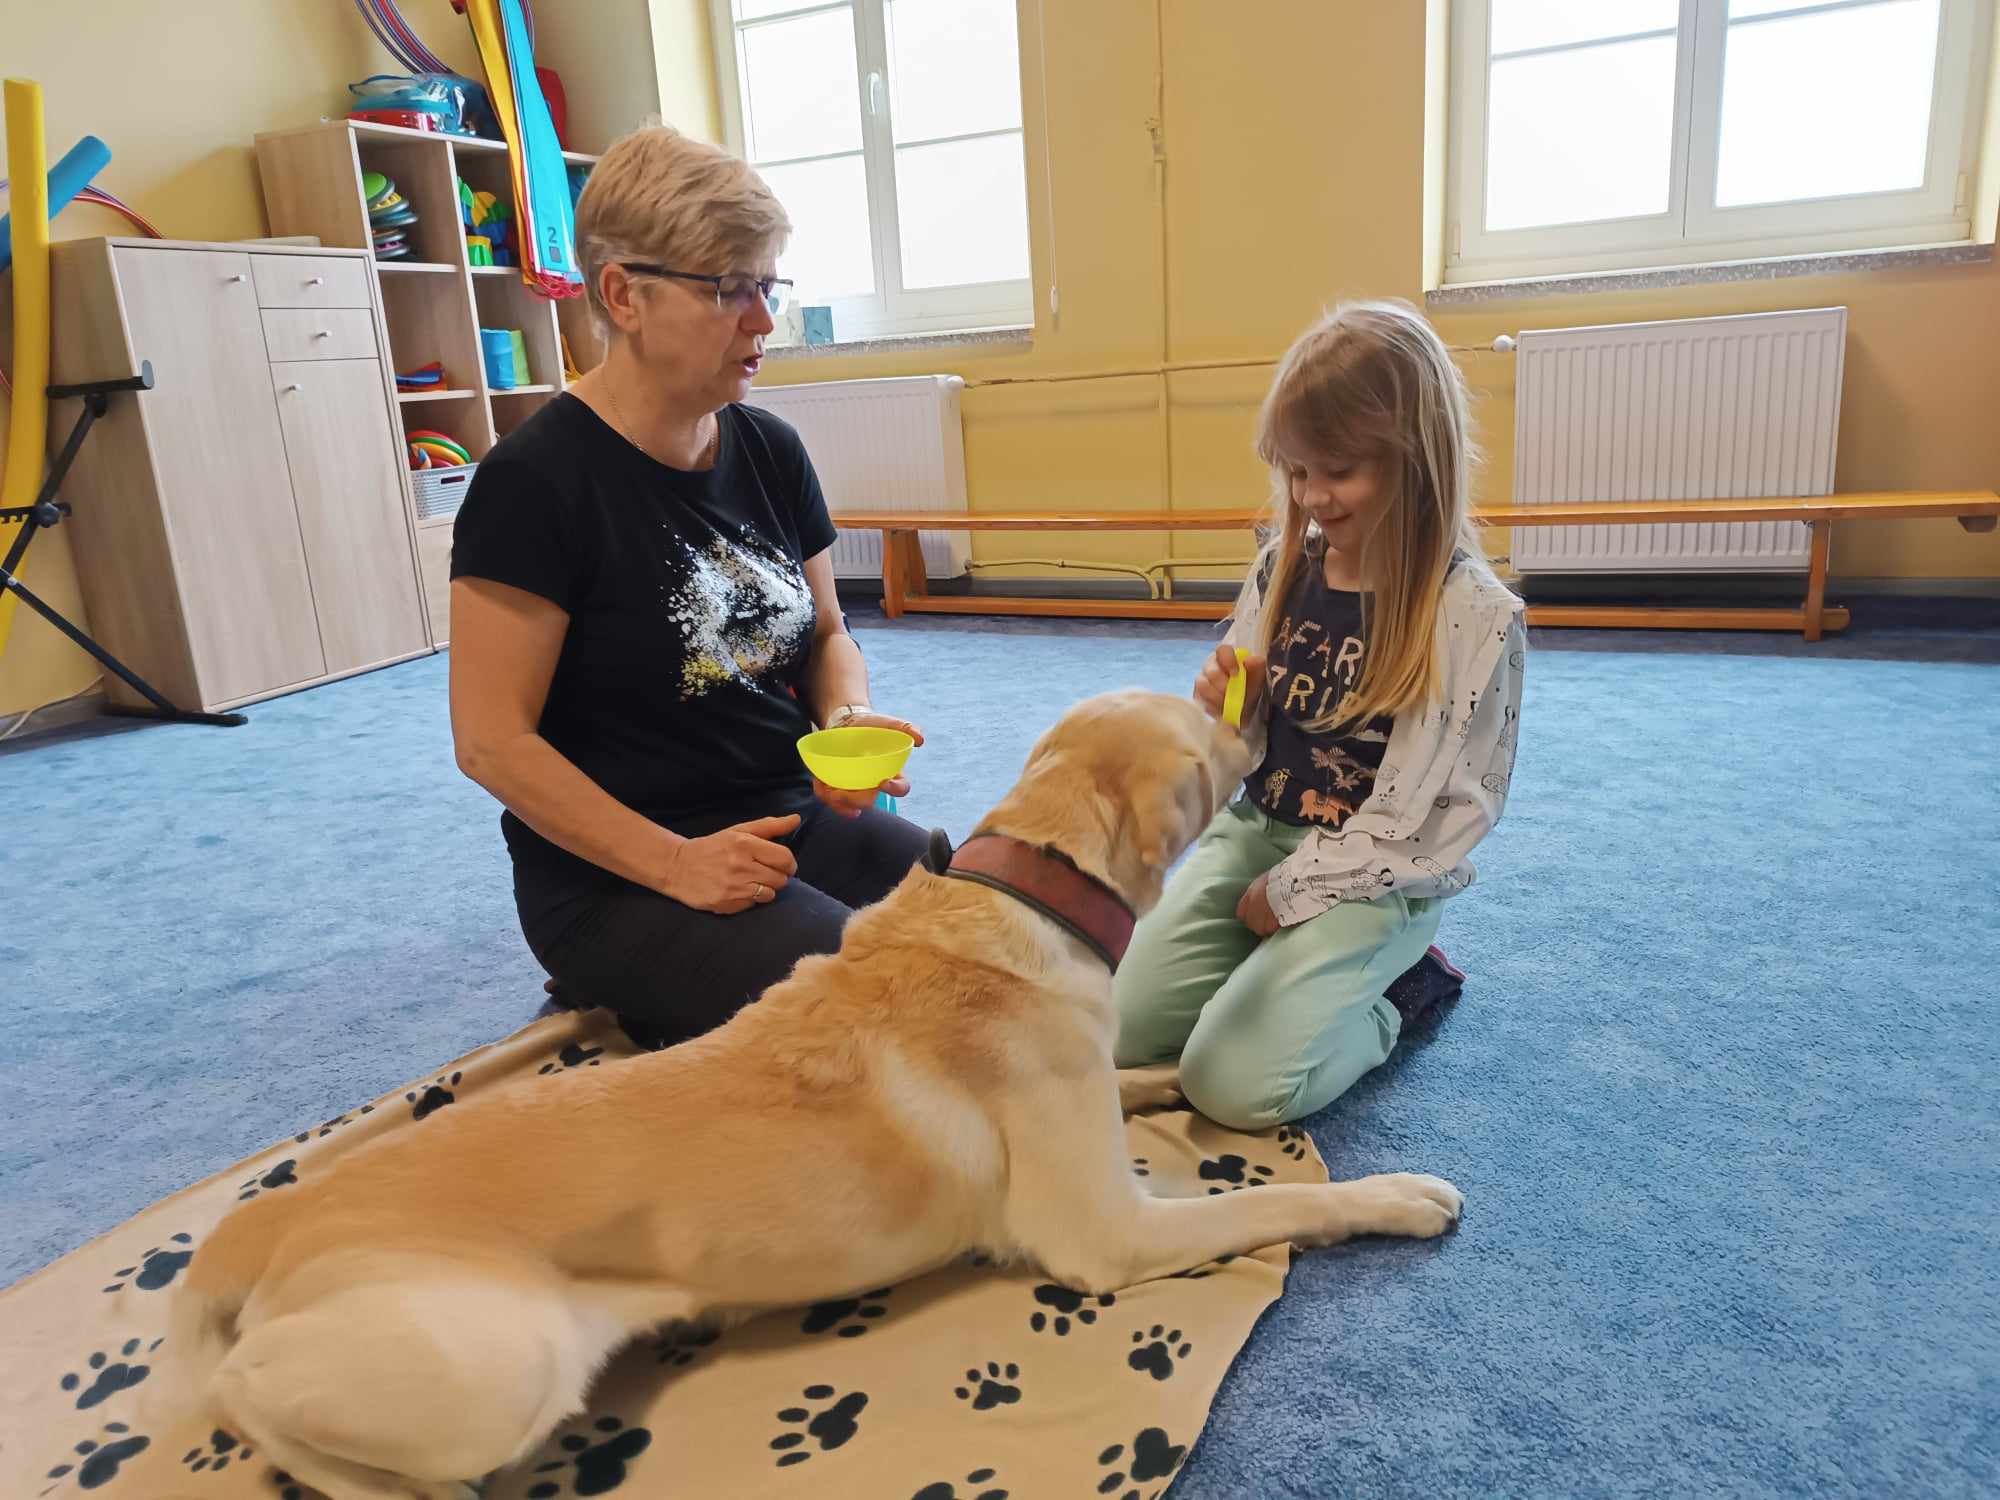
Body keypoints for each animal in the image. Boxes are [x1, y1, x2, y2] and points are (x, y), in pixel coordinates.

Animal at [164, 690, 1462, 1499]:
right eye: (1207, 727)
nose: (1263, 714)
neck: (1027, 890)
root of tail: (272, 1218)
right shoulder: (1104, 1234)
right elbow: (1272, 1204)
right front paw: (1398, 1196)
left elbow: (1143, 1076)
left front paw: (1163, 1080)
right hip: (496, 1363)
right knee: (239, 1399)